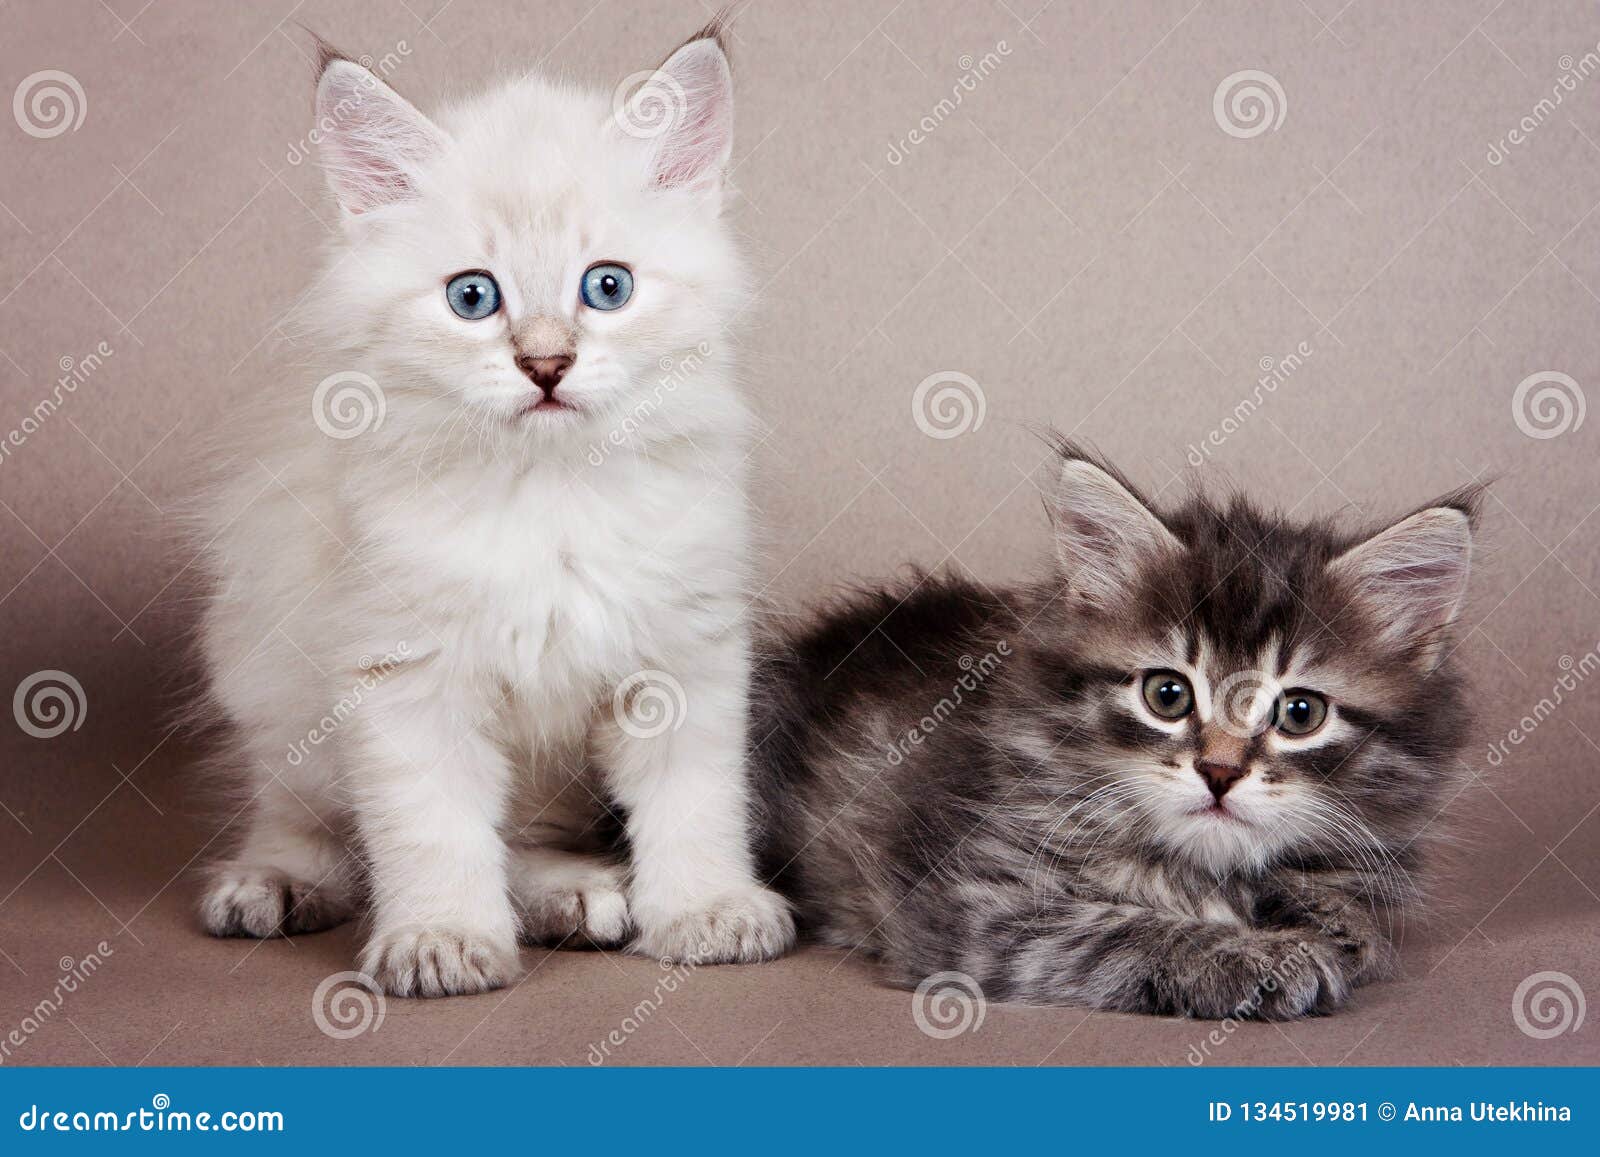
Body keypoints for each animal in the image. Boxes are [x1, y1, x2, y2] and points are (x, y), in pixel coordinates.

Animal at [193, 31, 793, 998]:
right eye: (473, 297)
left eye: (608, 287)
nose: (545, 364)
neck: (548, 497)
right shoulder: (402, 672)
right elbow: (432, 829)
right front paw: (441, 939)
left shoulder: (683, 656)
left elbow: (696, 803)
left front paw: (707, 910)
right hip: (269, 678)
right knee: (305, 819)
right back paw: (273, 884)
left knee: (521, 838)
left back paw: (573, 897)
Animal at [748, 438, 1472, 1017]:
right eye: (1167, 694)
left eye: (1300, 713)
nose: (1219, 771)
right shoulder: (970, 900)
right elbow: (1122, 929)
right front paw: (1256, 957)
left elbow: (1357, 922)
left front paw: (1317, 914)